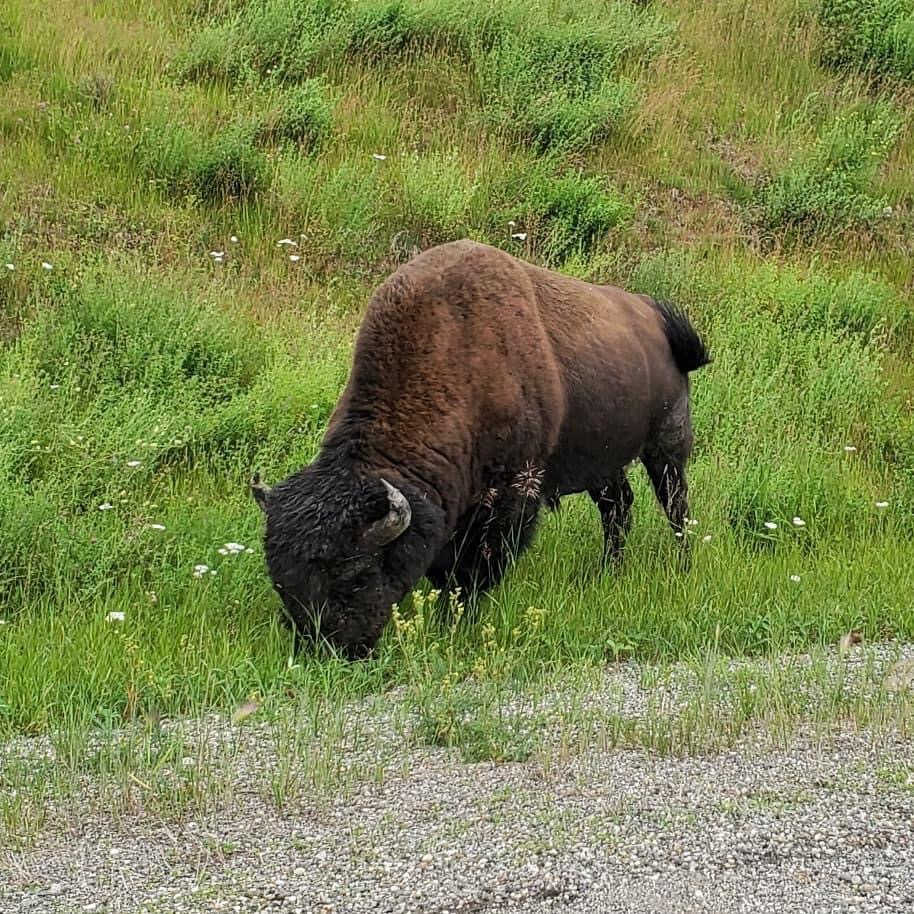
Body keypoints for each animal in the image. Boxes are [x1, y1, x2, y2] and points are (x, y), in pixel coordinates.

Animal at [252, 239, 710, 657]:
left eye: (356, 574)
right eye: (281, 579)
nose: (329, 649)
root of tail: (655, 318)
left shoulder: (513, 492)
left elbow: (482, 562)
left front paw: (458, 618)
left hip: (666, 445)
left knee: (675, 506)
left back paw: (683, 565)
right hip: (602, 464)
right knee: (618, 508)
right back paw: (608, 572)